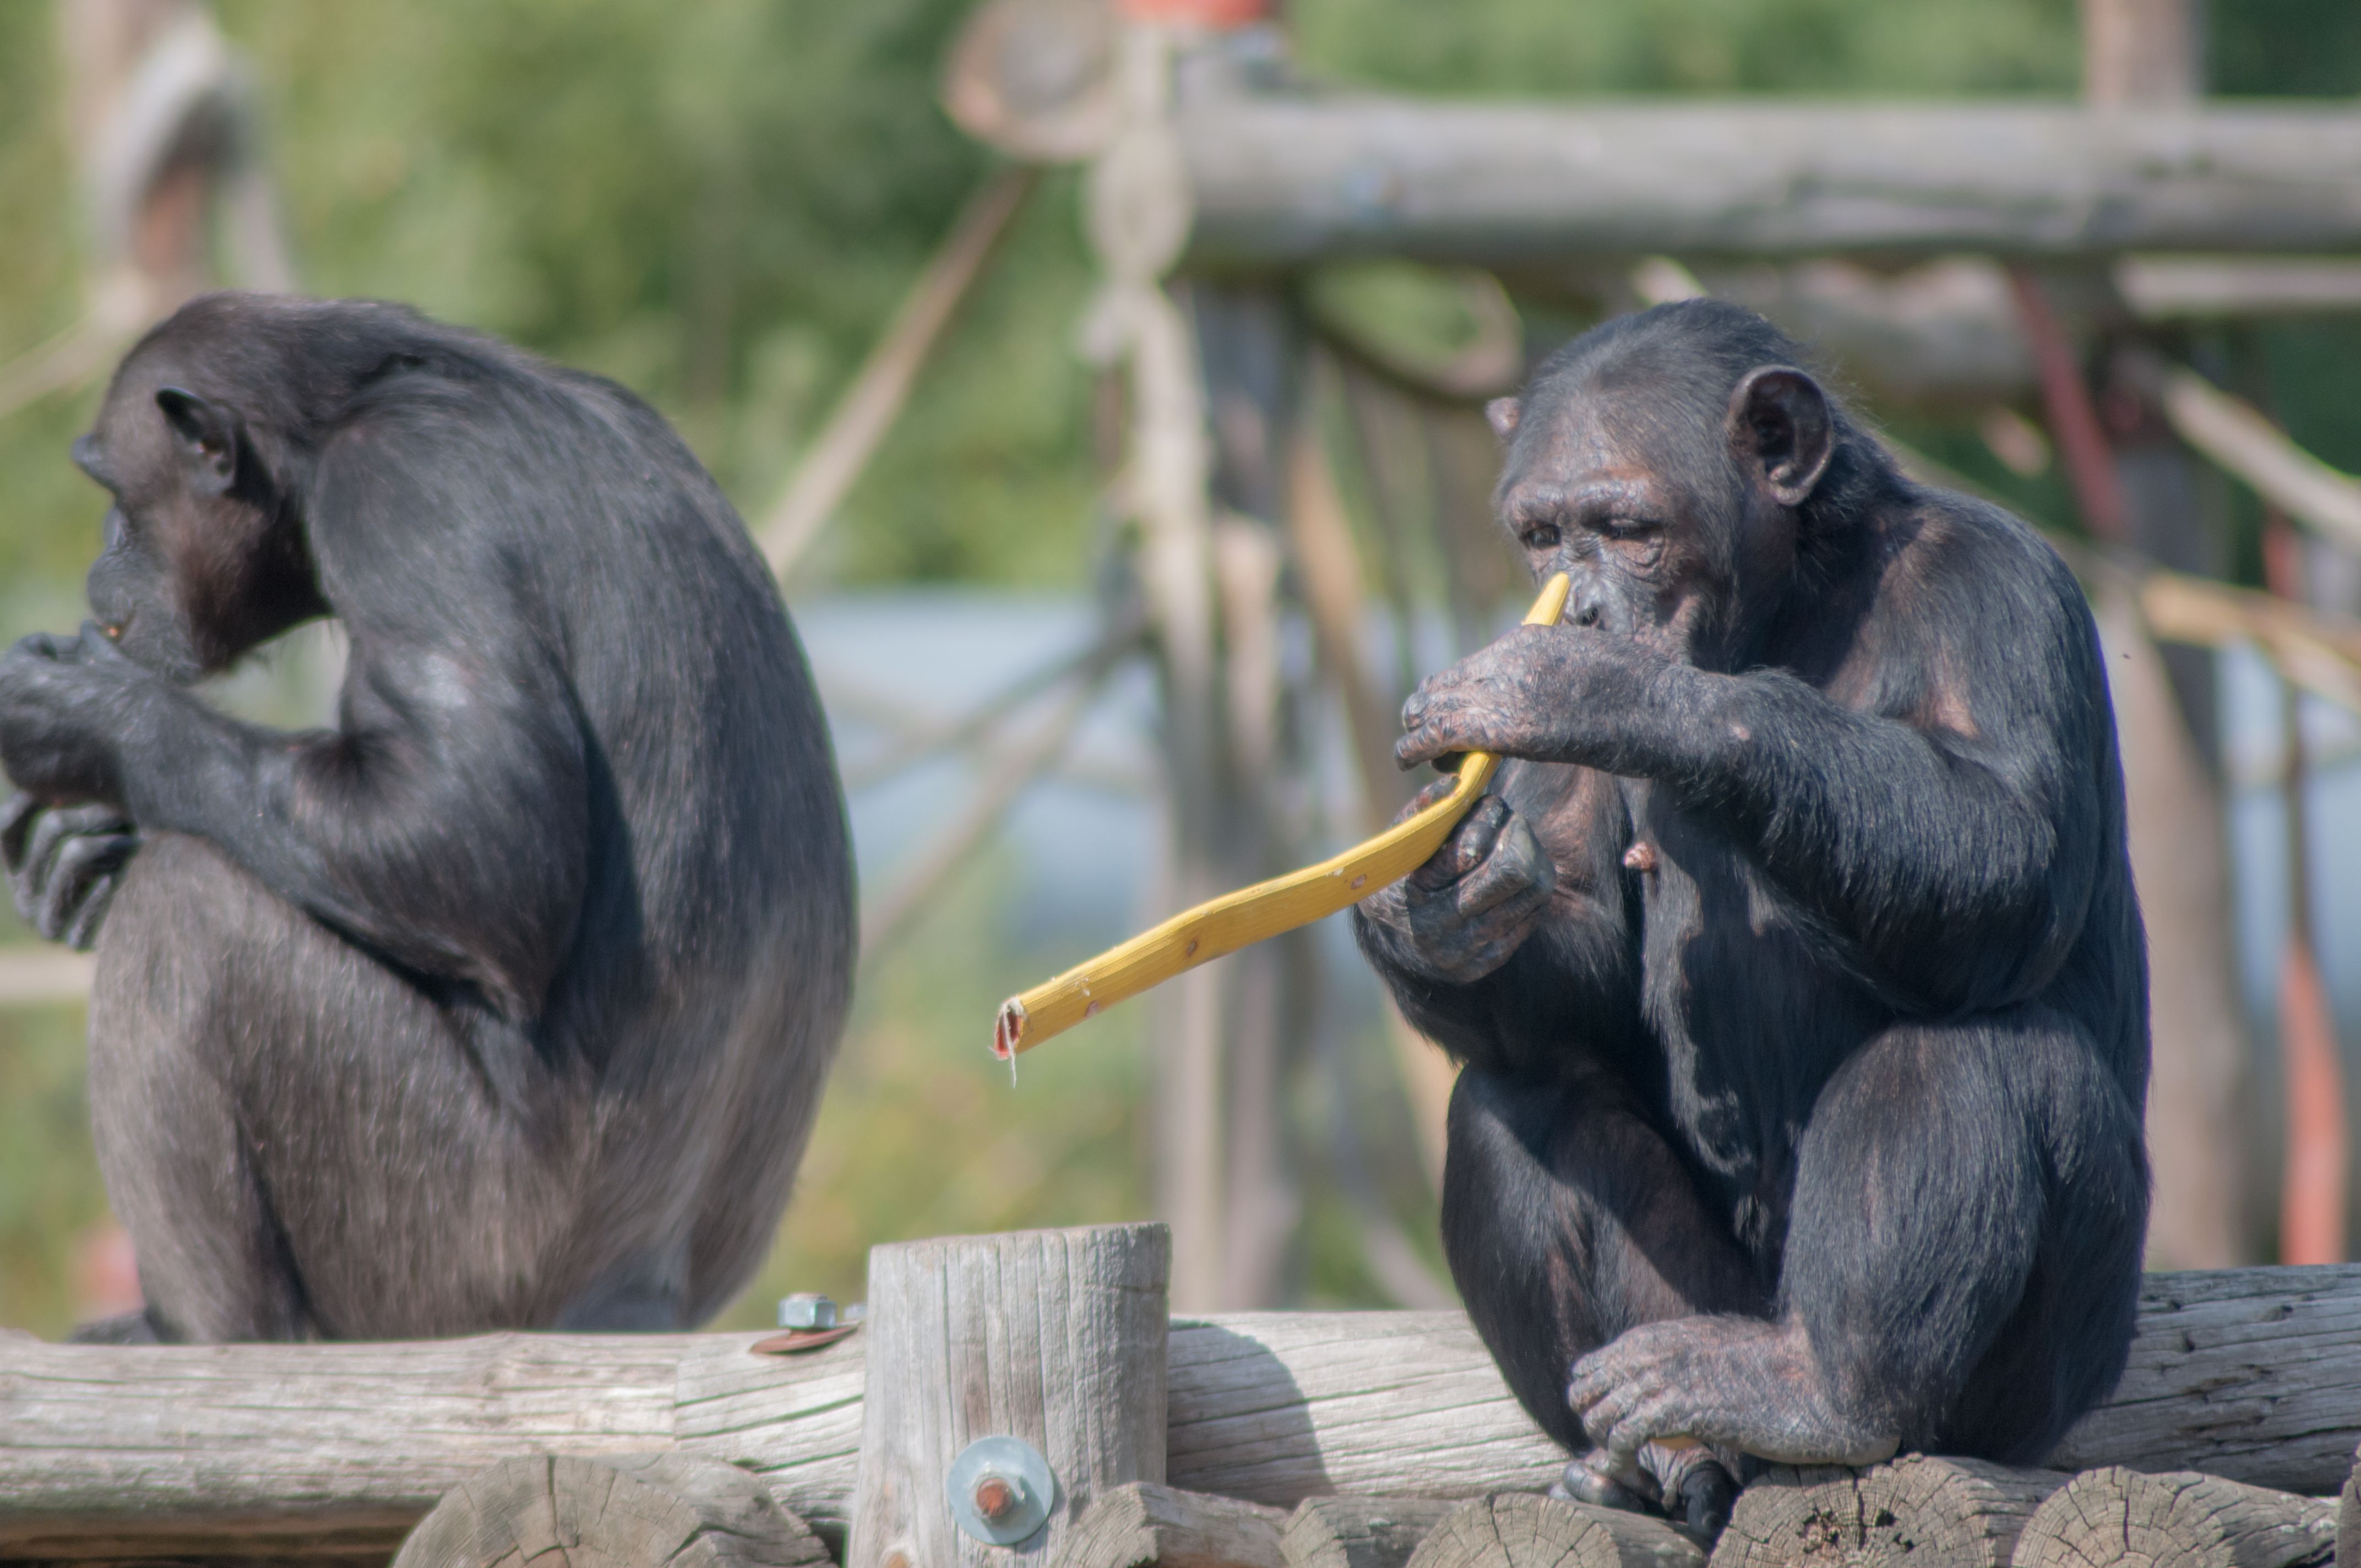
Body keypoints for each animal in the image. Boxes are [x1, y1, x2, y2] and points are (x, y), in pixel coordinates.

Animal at [0, 297, 850, 1351]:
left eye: (113, 487)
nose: (101, 548)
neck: (332, 423)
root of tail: (634, 1311)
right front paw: (76, 844)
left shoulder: (398, 499)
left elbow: (467, 830)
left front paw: (87, 718)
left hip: (451, 1248)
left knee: (190, 910)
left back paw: (203, 1330)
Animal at [1359, 300, 2153, 1539]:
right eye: (1540, 535)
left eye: (1626, 528)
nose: (1583, 603)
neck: (1791, 598)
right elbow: (1575, 949)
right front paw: (1428, 894)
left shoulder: (1997, 587)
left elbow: (2006, 853)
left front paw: (1590, 688)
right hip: (1686, 1312)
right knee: (1518, 1093)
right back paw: (1652, 1458)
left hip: (2036, 1392)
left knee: (1972, 1047)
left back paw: (1821, 1388)